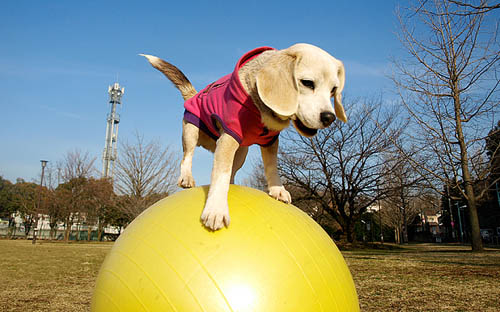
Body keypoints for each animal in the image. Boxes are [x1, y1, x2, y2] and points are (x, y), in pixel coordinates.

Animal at [139, 42, 346, 230]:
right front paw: (216, 210)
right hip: (192, 131)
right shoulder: (229, 137)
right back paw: (187, 178)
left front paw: (277, 189)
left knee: (231, 172)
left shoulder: (270, 141)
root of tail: (194, 94)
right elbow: (220, 175)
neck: (260, 107)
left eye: (333, 90)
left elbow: (271, 167)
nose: (329, 117)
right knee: (187, 157)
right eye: (307, 83)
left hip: (241, 152)